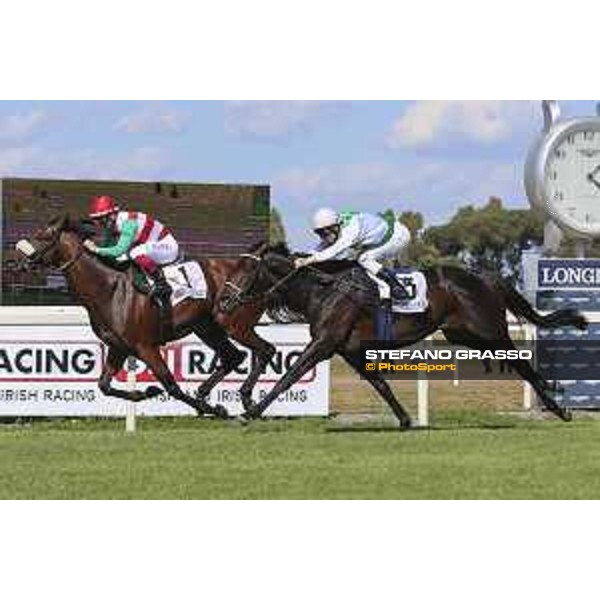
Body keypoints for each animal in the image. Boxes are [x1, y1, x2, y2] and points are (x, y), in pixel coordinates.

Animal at [15, 214, 276, 418]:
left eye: (43, 236)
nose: (15, 260)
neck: (109, 288)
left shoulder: (146, 346)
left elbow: (172, 386)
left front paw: (213, 409)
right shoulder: (119, 347)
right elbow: (104, 385)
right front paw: (146, 391)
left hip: (235, 323)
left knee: (264, 350)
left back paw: (247, 401)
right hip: (207, 327)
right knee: (234, 357)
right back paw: (215, 395)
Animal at [218, 244, 588, 426]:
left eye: (246, 271)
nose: (223, 300)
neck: (324, 289)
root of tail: (484, 277)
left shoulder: (325, 343)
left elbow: (290, 375)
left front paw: (250, 411)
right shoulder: (350, 350)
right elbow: (381, 384)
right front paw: (406, 419)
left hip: (490, 331)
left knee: (521, 362)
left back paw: (558, 404)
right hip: (462, 334)